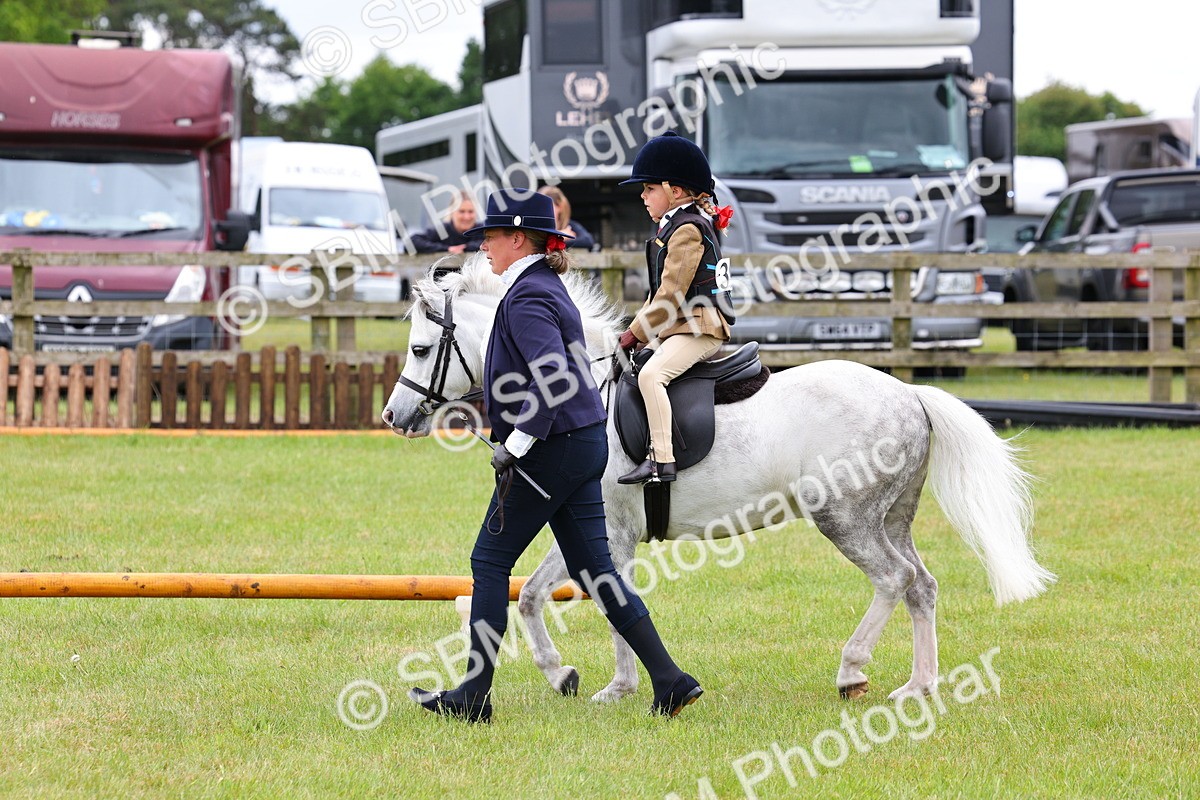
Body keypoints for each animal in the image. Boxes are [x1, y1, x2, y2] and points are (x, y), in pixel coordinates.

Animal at [382, 254, 1055, 702]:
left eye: (419, 350)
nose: (392, 417)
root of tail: (910, 394)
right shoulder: (587, 526)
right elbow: (538, 594)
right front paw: (571, 676)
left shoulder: (613, 533)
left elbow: (606, 599)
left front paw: (621, 686)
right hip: (891, 518)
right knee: (922, 586)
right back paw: (919, 686)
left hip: (846, 518)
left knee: (893, 580)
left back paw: (852, 670)